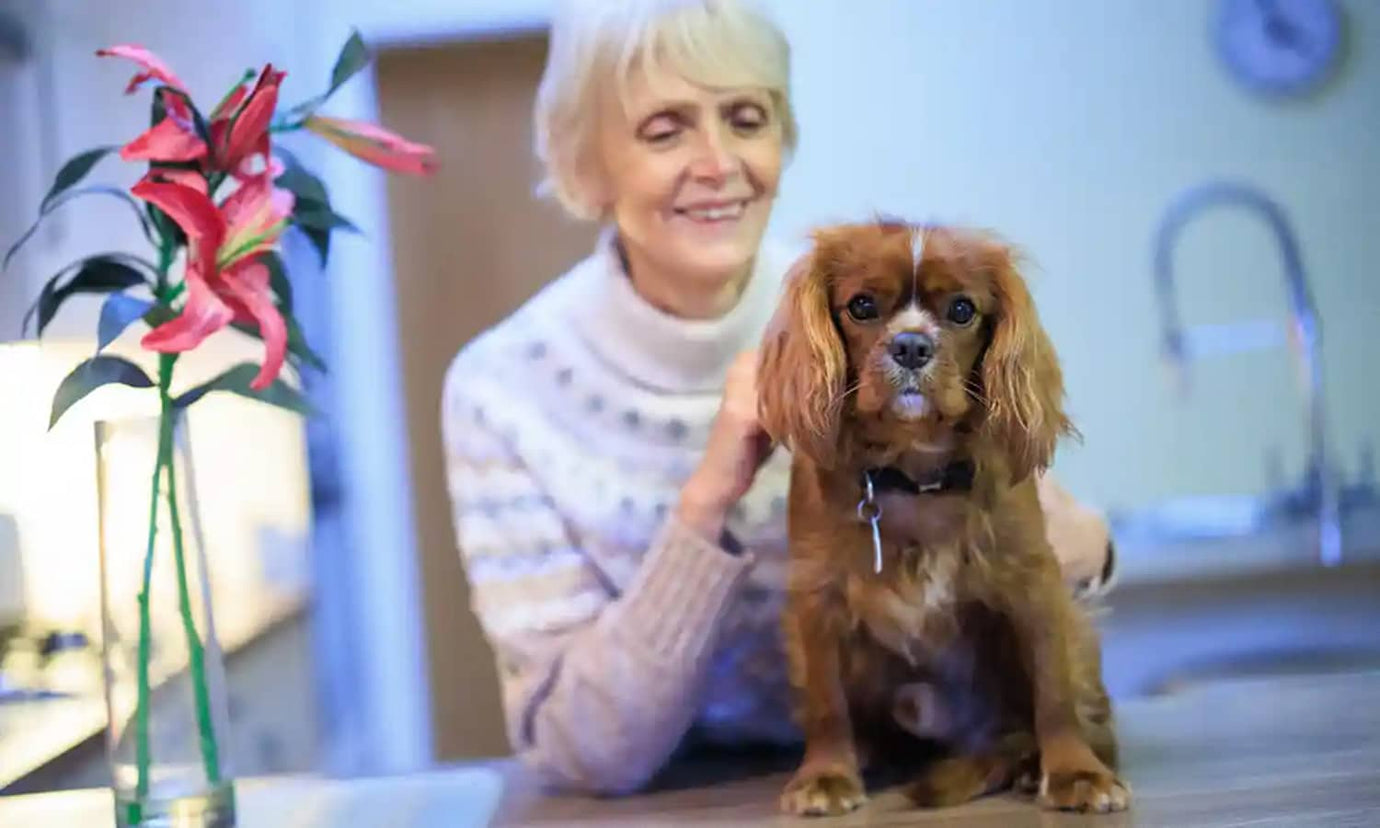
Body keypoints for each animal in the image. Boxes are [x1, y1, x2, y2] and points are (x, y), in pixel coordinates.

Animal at [761, 219, 1126, 816]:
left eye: (961, 310)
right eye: (862, 306)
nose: (912, 345)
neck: (916, 475)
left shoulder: (1036, 585)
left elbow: (1053, 691)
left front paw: (1076, 773)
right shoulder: (818, 594)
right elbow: (827, 700)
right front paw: (826, 776)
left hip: (1076, 629)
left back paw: (1035, 764)